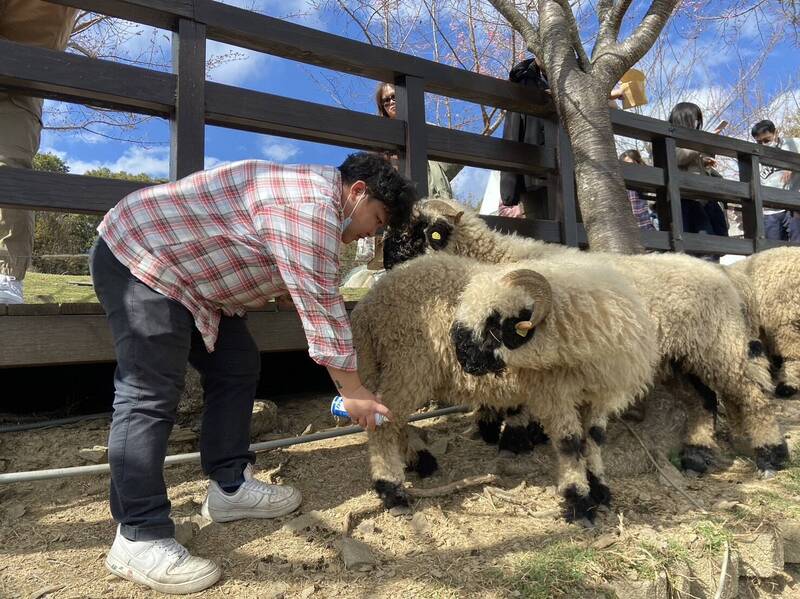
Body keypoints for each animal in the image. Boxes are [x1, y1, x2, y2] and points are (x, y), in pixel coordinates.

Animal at [354, 251, 660, 524]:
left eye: (495, 321)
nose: (462, 359)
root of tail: (368, 305)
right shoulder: (555, 394)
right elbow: (570, 443)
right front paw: (579, 502)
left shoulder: (600, 397)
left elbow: (594, 439)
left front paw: (599, 488)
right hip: (408, 364)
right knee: (384, 424)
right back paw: (391, 490)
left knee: (394, 419)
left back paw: (419, 461)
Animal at [384, 199, 792, 476]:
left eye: (419, 232)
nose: (386, 261)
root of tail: (726, 277)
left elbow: (519, 402)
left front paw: (515, 439)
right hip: (680, 355)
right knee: (704, 400)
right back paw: (697, 453)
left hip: (719, 344)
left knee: (752, 395)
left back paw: (772, 455)